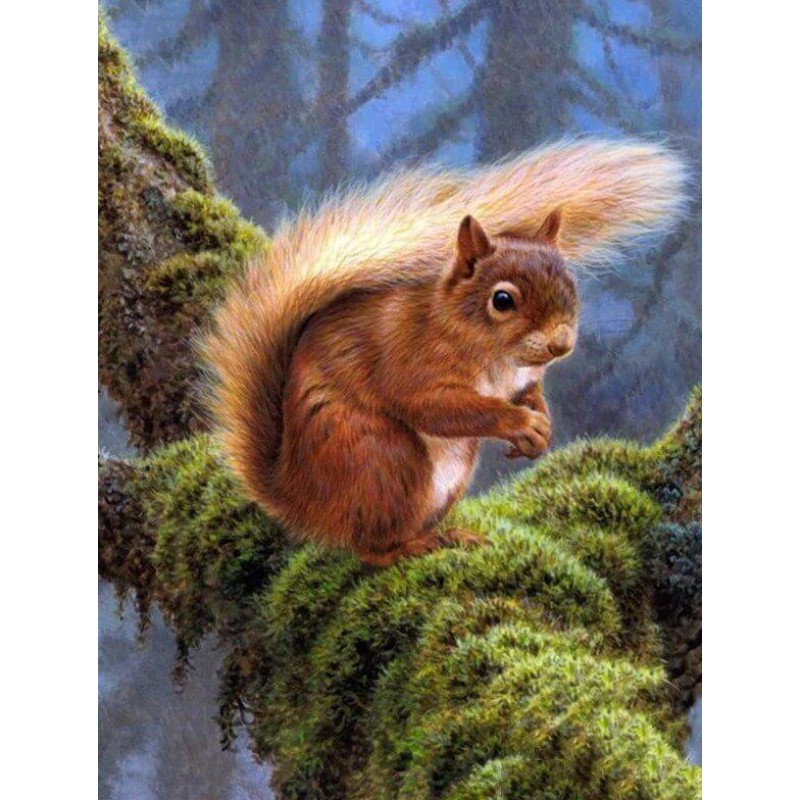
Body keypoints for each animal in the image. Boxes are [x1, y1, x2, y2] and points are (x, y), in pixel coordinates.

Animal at [202, 139, 686, 566]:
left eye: (570, 283)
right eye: (502, 300)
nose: (561, 343)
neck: (495, 356)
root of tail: (299, 498)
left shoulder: (520, 379)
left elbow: (530, 393)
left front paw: (541, 426)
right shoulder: (411, 362)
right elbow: (438, 407)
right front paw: (519, 422)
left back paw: (450, 535)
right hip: (381, 456)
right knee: (367, 547)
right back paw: (410, 548)